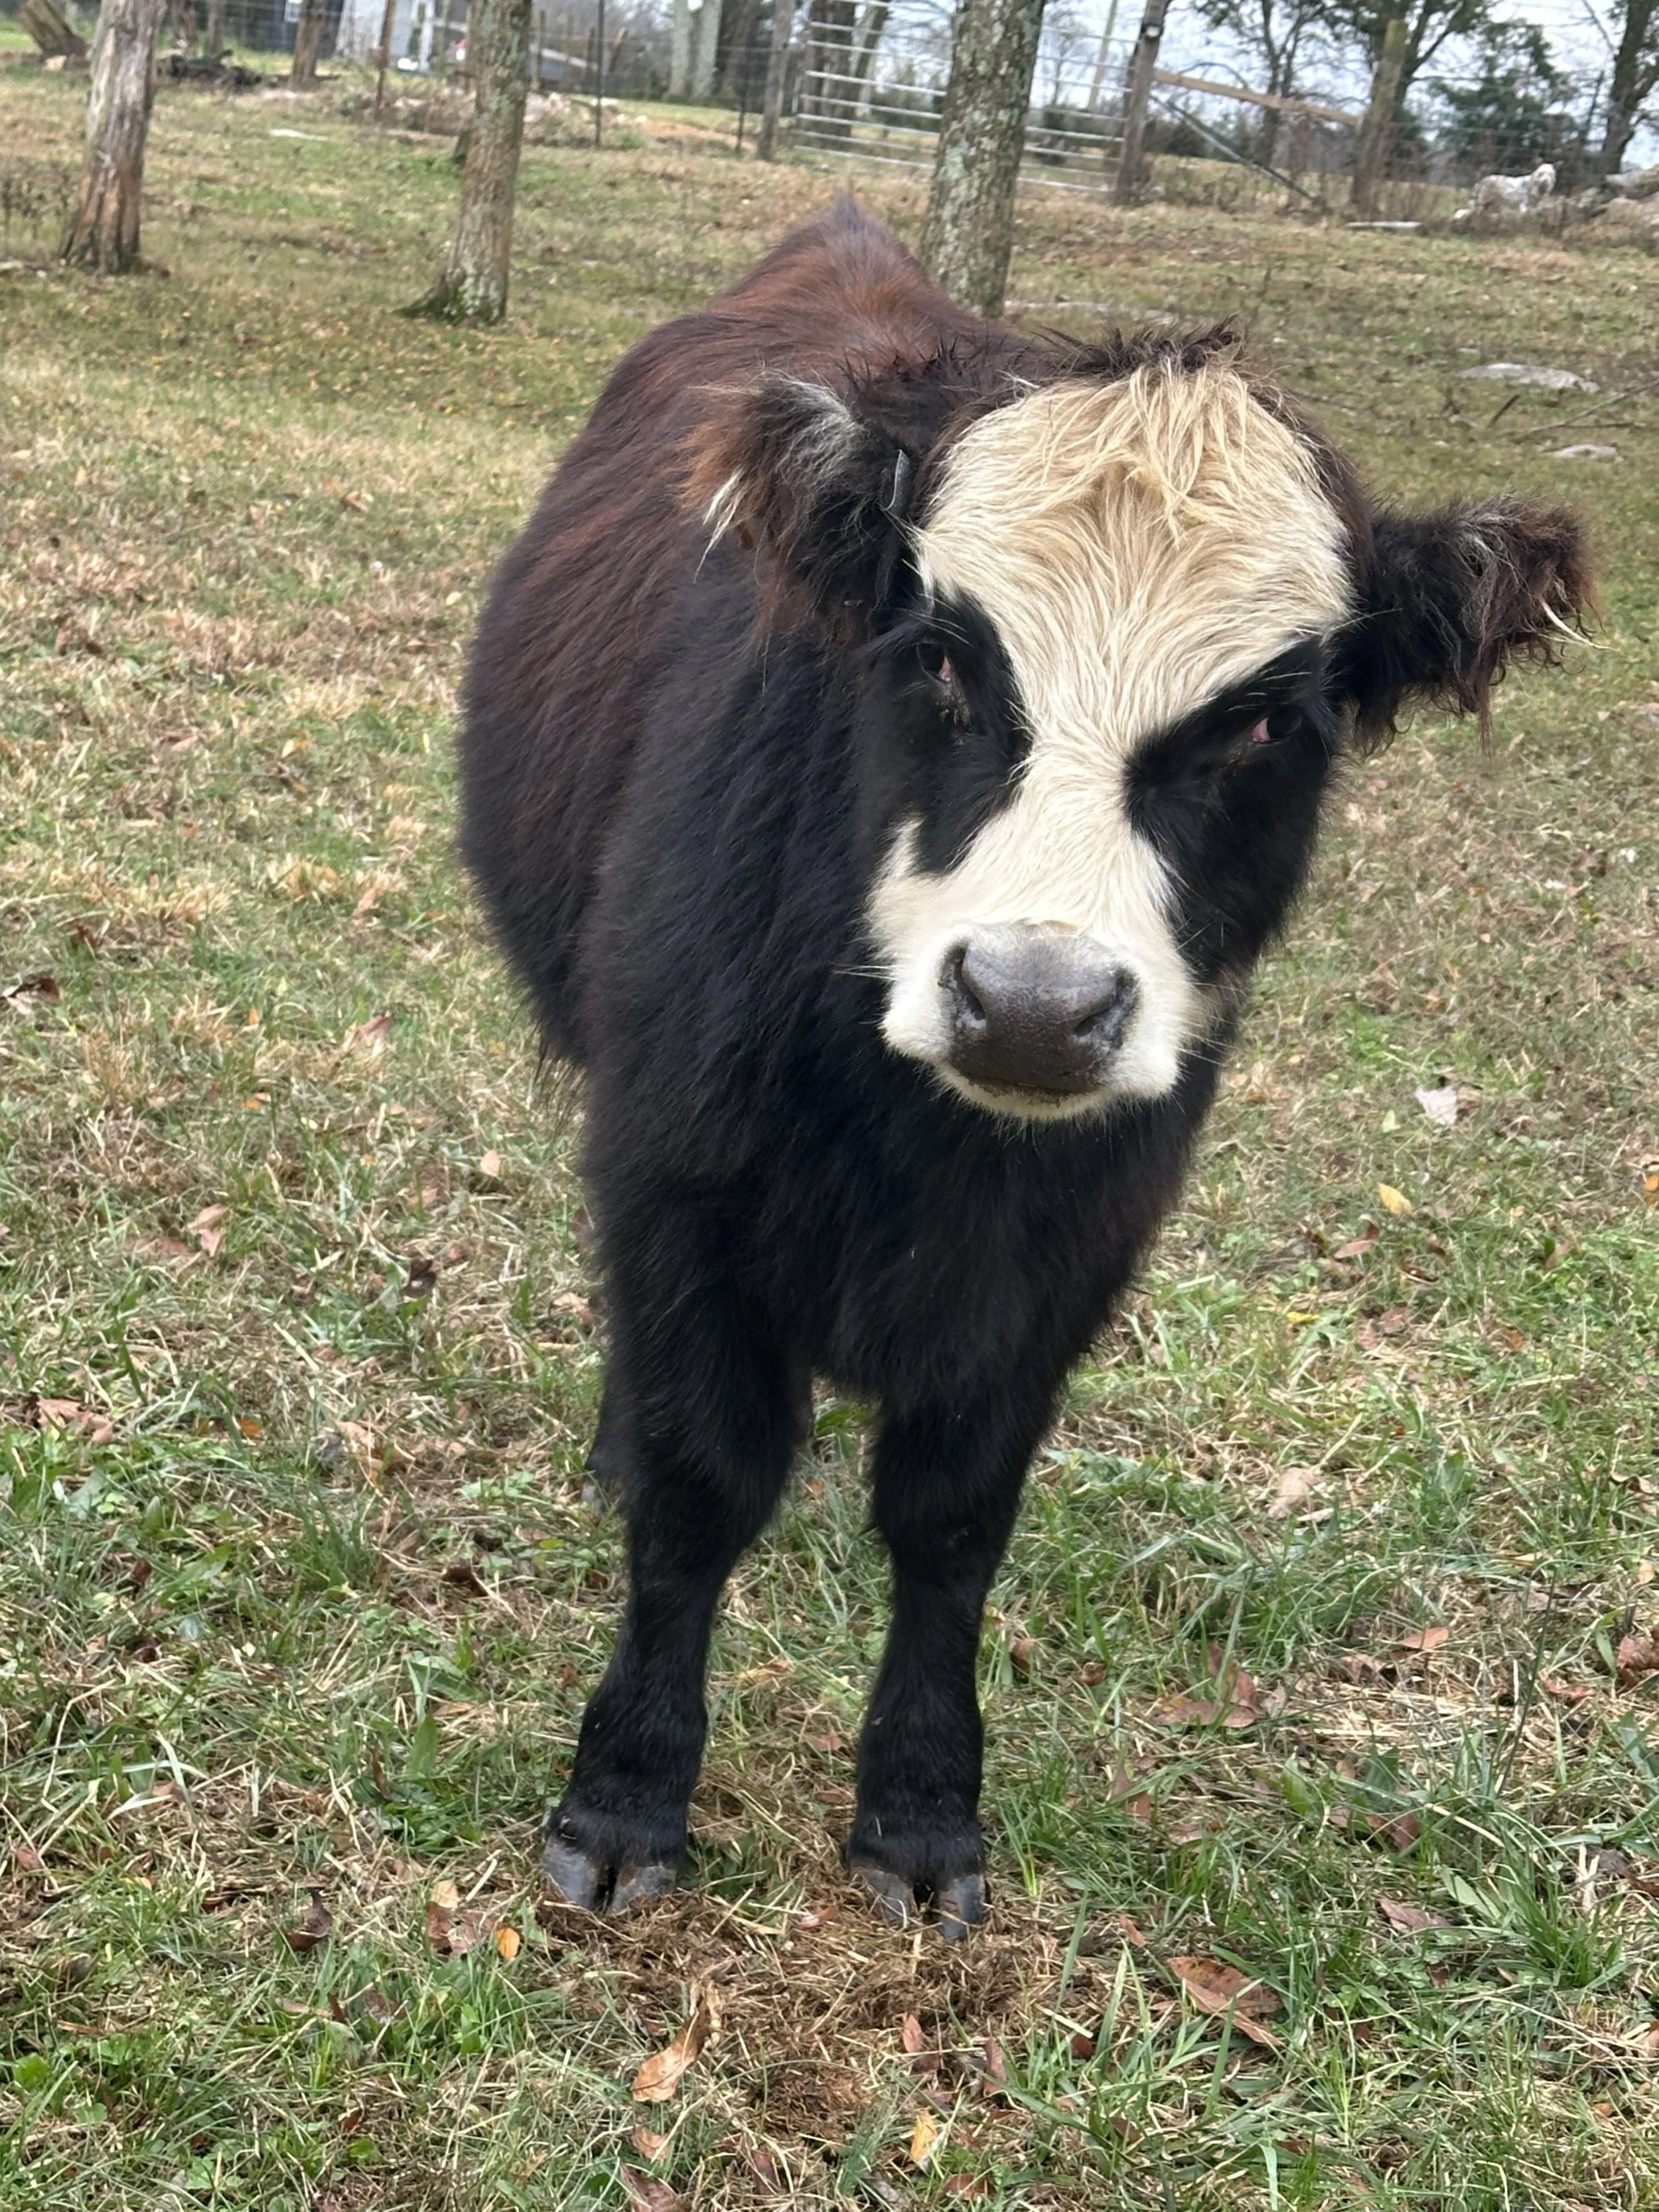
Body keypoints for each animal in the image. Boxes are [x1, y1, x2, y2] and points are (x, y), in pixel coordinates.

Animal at [460, 201, 1589, 1938]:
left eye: (1269, 720)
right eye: (939, 659)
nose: (1033, 1005)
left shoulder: (1074, 1244)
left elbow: (953, 1519)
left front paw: (921, 1811)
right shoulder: (673, 1169)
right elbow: (698, 1483)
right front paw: (628, 1791)